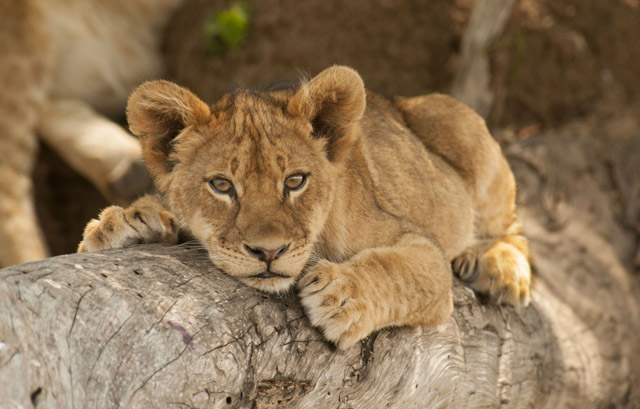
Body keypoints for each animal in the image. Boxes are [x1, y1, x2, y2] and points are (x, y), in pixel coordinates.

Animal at [78, 66, 531, 349]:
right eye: (222, 185)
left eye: (295, 181)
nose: (268, 252)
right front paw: (125, 223)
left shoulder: (421, 246)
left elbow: (399, 270)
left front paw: (340, 295)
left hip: (460, 124)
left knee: (514, 227)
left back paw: (500, 266)